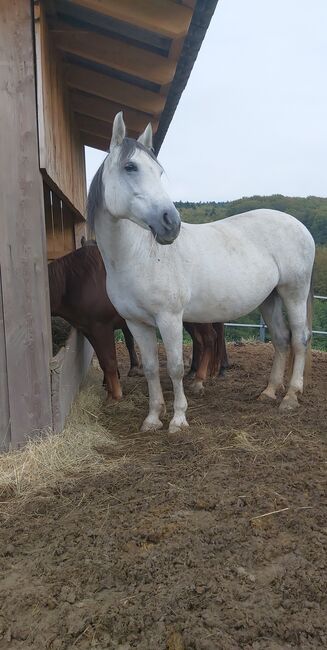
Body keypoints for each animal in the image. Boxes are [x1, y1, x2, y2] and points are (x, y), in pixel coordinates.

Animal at [88, 112, 316, 430]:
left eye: (159, 172)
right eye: (130, 167)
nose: (170, 223)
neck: (137, 256)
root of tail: (300, 226)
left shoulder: (170, 319)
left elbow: (174, 367)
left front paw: (178, 419)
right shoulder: (137, 323)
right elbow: (151, 369)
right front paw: (153, 418)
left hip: (293, 292)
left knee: (299, 338)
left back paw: (291, 397)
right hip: (269, 298)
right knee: (281, 339)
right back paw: (269, 392)